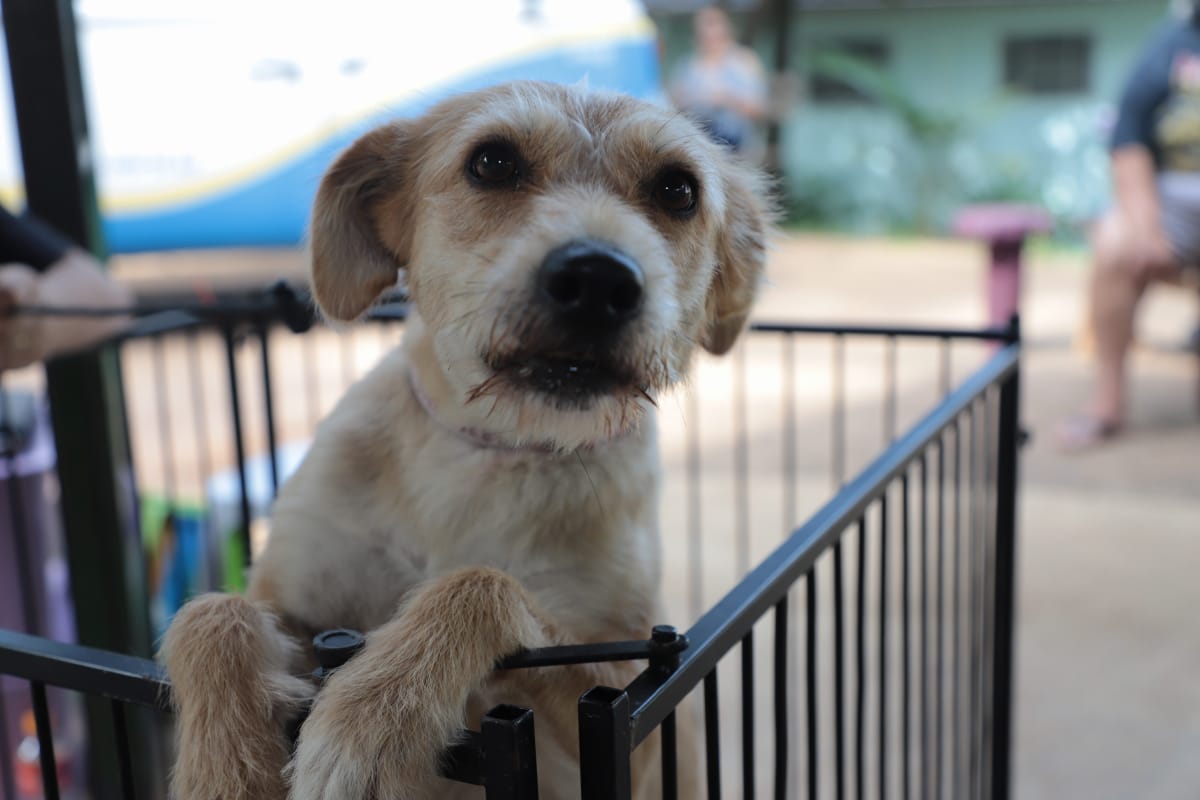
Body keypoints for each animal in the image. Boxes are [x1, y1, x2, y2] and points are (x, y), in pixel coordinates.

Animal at [161, 80, 770, 799]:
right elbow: (214, 613)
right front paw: (224, 766)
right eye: (492, 162)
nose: (598, 279)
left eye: (678, 190)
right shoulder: (291, 605)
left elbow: (484, 584)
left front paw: (374, 713)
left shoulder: (639, 714)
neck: (489, 452)